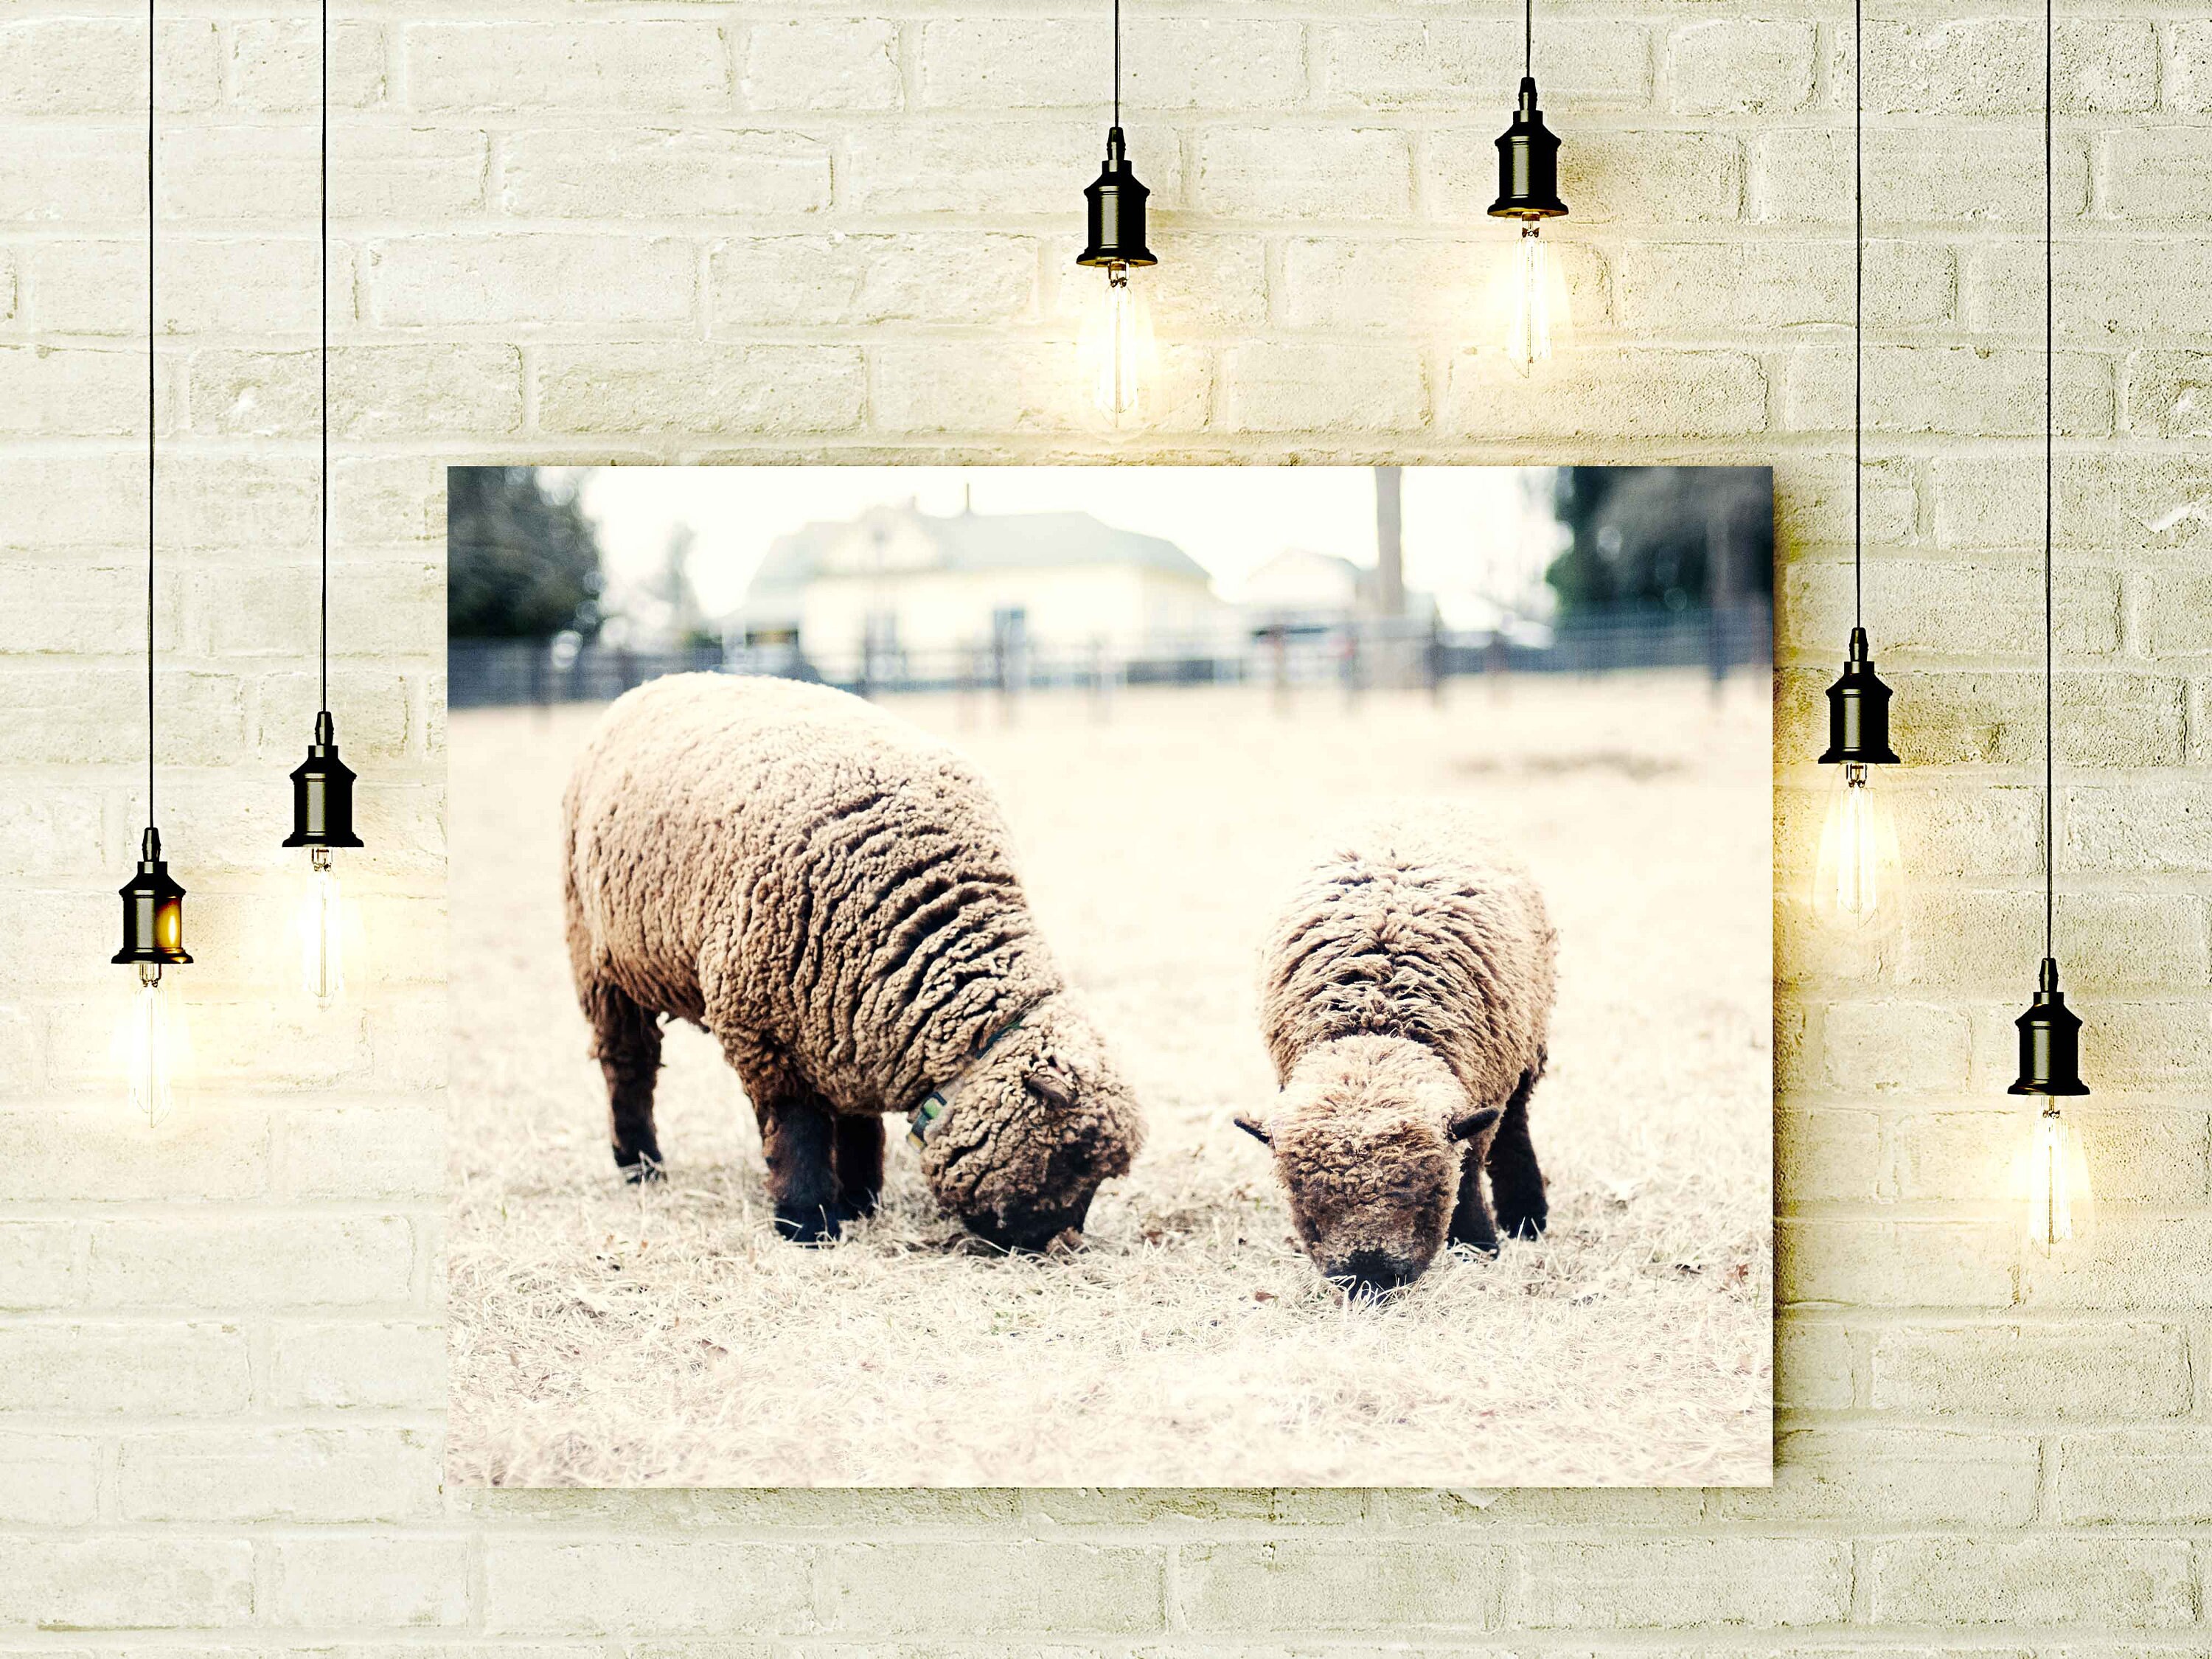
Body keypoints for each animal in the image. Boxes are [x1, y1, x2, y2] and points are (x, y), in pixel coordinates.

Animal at [561, 672, 1143, 1250]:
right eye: (1070, 1160)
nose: (1063, 1244)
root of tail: (658, 682)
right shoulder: (766, 1029)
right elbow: (798, 1129)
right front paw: (808, 1222)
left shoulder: (848, 1014)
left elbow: (859, 1120)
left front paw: (860, 1199)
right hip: (598, 958)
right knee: (629, 1063)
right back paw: (640, 1164)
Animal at [1236, 808, 1557, 1293]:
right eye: (1302, 1201)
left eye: (1425, 1191)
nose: (1369, 1280)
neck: (1377, 1021)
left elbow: (1470, 1166)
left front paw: (1478, 1245)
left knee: (1516, 1122)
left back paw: (1526, 1217)